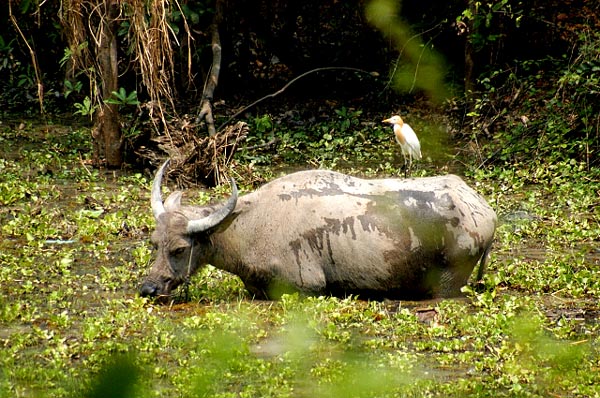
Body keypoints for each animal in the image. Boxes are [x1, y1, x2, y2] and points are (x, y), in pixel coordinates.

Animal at [141, 160, 496, 300]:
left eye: (179, 249)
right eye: (154, 243)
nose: (148, 289)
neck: (248, 227)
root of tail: (485, 211)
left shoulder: (306, 287)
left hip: (448, 280)